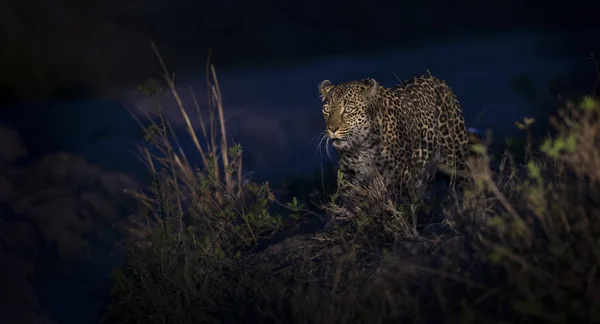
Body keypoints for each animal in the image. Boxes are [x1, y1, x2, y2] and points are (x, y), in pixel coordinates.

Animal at [318, 73, 474, 210]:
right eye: (326, 109)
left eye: (348, 109)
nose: (332, 129)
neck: (362, 144)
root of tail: (436, 79)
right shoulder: (349, 177)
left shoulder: (399, 177)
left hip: (456, 156)